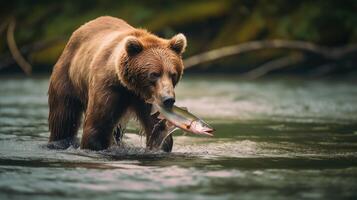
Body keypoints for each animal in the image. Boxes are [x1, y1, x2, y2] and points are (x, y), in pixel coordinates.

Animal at [47, 16, 186, 152]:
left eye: (173, 74)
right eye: (154, 74)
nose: (168, 99)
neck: (131, 87)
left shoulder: (148, 100)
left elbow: (157, 128)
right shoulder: (108, 88)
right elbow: (97, 127)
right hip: (66, 78)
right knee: (63, 117)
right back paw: (59, 141)